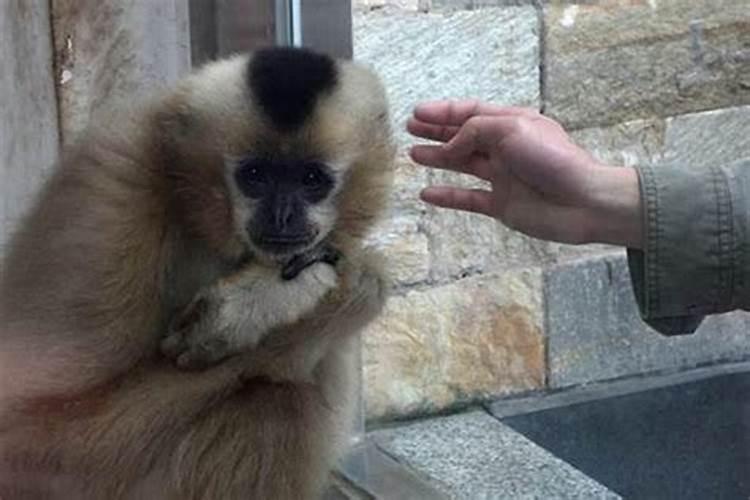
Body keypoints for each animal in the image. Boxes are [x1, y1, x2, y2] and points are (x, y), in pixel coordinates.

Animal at [0, 45, 400, 498]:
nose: (281, 216)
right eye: (255, 175)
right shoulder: (112, 183)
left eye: (311, 178)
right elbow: (32, 425)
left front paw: (249, 306)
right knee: (273, 405)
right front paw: (271, 300)